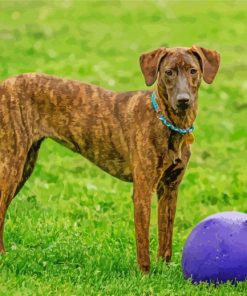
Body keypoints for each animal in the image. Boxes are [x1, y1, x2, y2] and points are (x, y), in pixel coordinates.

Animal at [0, 45, 220, 272]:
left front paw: (164, 270)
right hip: (11, 165)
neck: (169, 123)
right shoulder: (142, 190)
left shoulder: (170, 189)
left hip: (26, 165)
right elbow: (143, 241)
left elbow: (165, 237)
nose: (183, 100)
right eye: (168, 72)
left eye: (193, 71)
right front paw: (145, 274)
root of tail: (4, 84)